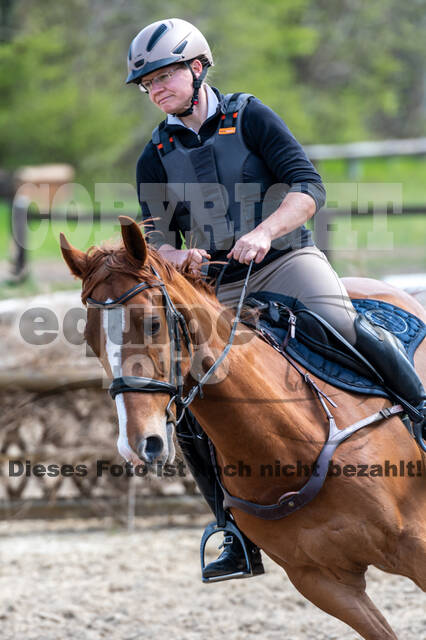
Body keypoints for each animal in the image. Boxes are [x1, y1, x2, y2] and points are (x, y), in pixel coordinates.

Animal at [60, 218, 426, 636]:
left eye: (152, 323)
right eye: (90, 340)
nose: (139, 444)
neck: (289, 447)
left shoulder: (417, 546)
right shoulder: (323, 583)